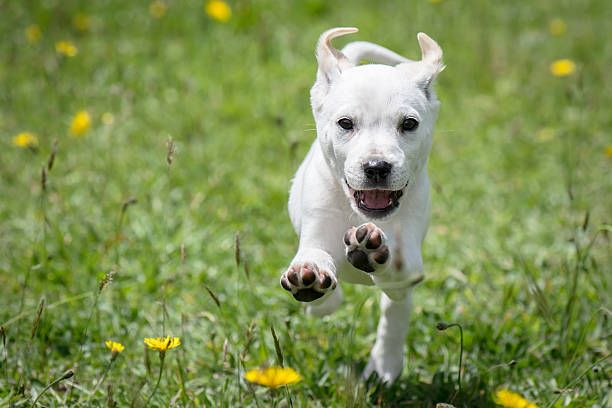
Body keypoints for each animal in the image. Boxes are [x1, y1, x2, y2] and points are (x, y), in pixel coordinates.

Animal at [280, 27, 442, 382]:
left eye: (409, 124)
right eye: (345, 123)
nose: (377, 166)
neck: (354, 212)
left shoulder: (410, 257)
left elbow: (398, 266)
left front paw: (373, 250)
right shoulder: (316, 226)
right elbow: (317, 266)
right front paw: (310, 276)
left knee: (395, 311)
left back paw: (384, 364)